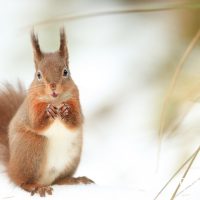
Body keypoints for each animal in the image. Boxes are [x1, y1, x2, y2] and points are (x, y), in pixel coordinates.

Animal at [0, 27, 94, 197]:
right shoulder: (31, 107)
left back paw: (75, 180)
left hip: (72, 157)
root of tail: (11, 168)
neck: (55, 101)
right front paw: (48, 111)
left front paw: (66, 111)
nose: (53, 86)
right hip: (33, 148)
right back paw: (37, 187)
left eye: (65, 72)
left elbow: (76, 120)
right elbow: (36, 123)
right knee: (23, 182)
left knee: (58, 180)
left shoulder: (76, 100)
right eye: (38, 75)